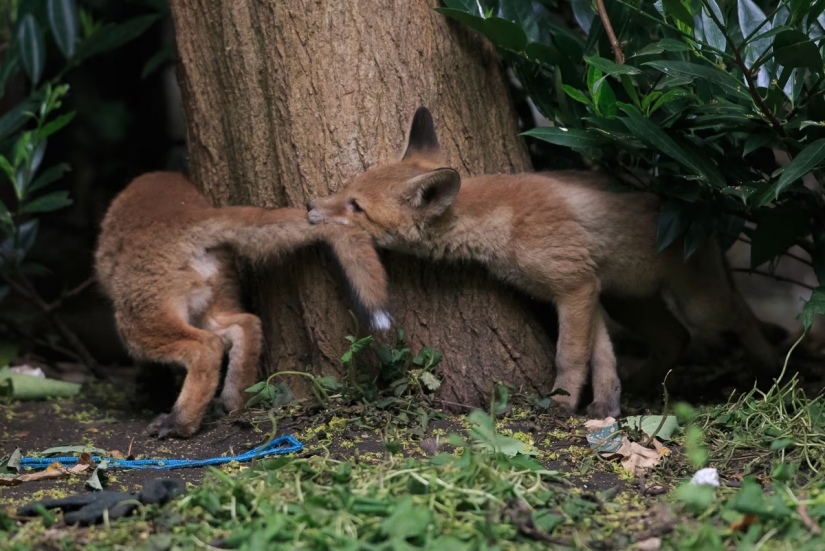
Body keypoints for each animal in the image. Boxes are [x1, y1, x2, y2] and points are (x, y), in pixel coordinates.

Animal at [95, 172, 391, 438]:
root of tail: (191, 215)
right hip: (210, 308)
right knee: (246, 325)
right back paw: (235, 401)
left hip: (137, 324)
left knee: (207, 347)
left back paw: (180, 423)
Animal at [306, 106, 779, 418]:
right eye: (345, 190)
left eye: (356, 207)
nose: (310, 206)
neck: (503, 221)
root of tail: (699, 206)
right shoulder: (588, 290)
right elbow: (601, 357)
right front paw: (606, 405)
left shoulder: (574, 288)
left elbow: (570, 356)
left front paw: (562, 403)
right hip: (628, 299)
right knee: (674, 338)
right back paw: (645, 384)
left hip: (700, 304)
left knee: (736, 316)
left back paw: (774, 370)